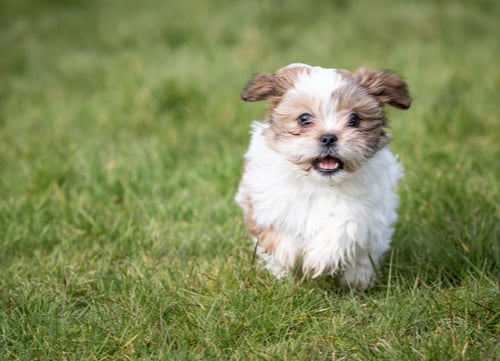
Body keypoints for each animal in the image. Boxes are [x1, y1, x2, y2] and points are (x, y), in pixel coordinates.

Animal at [236, 62, 412, 286]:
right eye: (304, 119)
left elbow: (346, 224)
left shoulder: (368, 207)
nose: (329, 137)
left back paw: (358, 279)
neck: (319, 183)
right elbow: (274, 230)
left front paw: (320, 257)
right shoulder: (263, 199)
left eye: (354, 119)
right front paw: (288, 256)